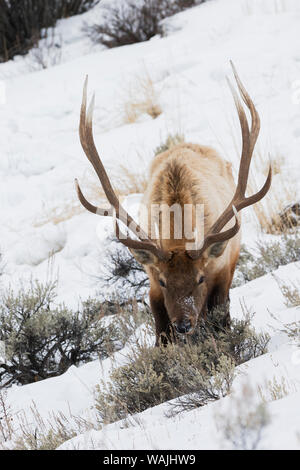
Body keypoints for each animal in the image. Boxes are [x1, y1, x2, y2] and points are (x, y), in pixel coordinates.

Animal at [75, 62, 272, 346]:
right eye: (164, 280)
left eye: (200, 278)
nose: (183, 324)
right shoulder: (151, 282)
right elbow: (160, 338)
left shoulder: (221, 273)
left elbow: (222, 323)